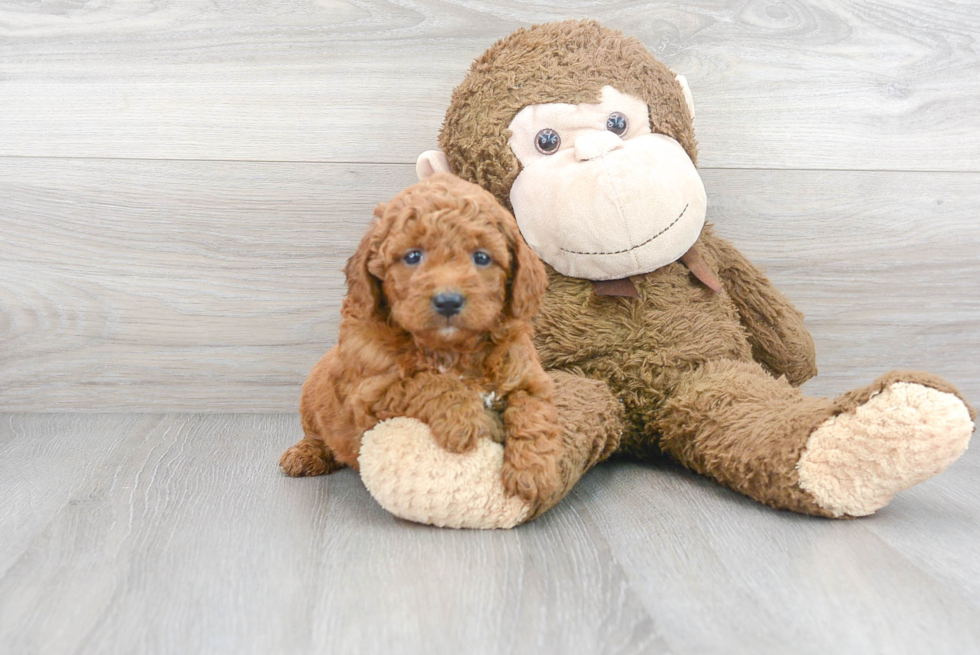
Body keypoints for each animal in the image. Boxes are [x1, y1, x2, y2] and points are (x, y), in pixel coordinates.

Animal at [280, 174, 564, 512]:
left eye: (482, 257)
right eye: (413, 256)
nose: (448, 301)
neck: (452, 350)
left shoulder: (528, 377)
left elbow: (534, 413)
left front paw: (535, 473)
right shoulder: (370, 393)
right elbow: (428, 382)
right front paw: (467, 422)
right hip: (311, 401)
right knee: (317, 436)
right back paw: (304, 455)